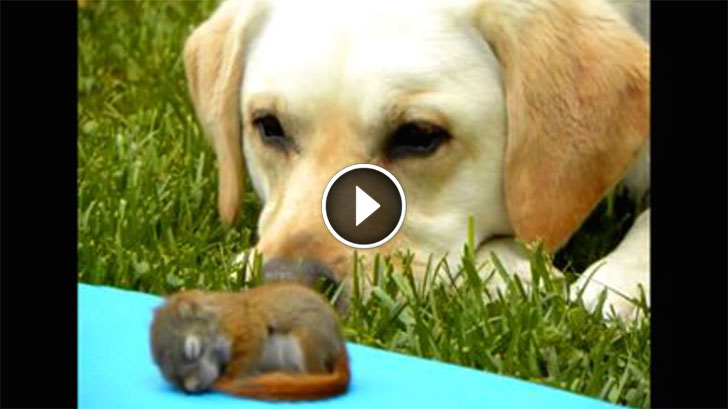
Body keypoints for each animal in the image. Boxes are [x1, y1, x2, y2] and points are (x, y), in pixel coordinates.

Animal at [150, 282, 350, 400]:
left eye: (192, 350)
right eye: (171, 376)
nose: (191, 388)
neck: (220, 315)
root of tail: (338, 343)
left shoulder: (244, 324)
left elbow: (246, 353)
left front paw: (227, 379)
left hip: (307, 341)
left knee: (319, 371)